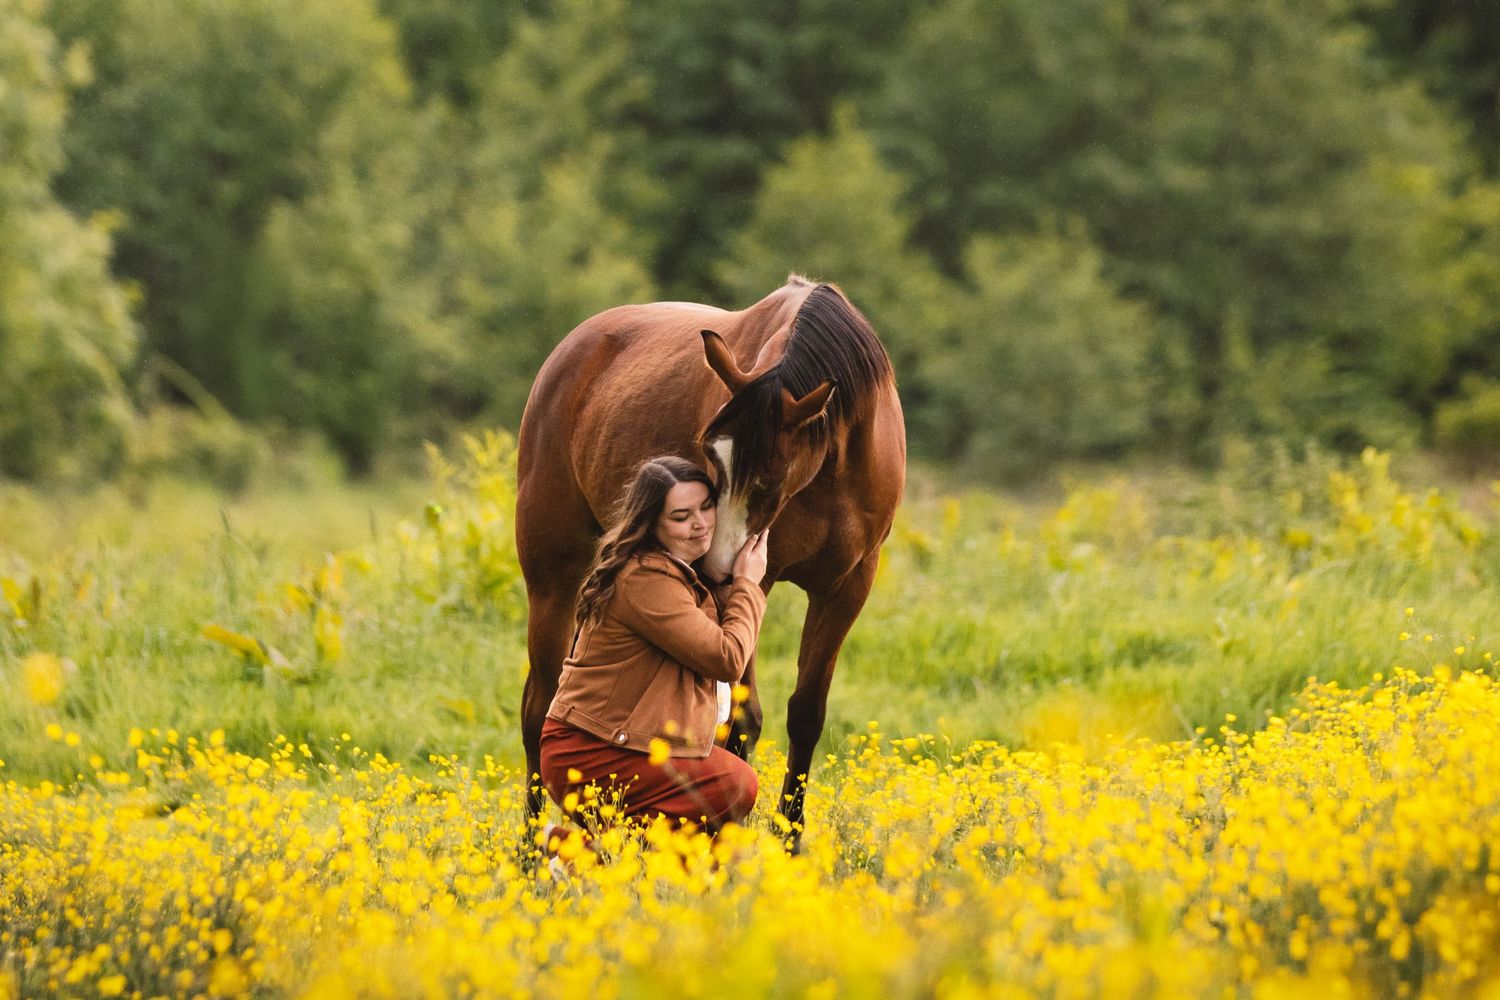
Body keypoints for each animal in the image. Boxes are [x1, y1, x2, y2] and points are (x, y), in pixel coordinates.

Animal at [515, 275, 906, 839]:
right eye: (708, 454)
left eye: (771, 474)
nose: (718, 564)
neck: (833, 468)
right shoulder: (751, 587)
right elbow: (742, 721)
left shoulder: (846, 588)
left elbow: (806, 713)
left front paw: (791, 841)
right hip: (553, 577)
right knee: (540, 704)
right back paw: (528, 850)